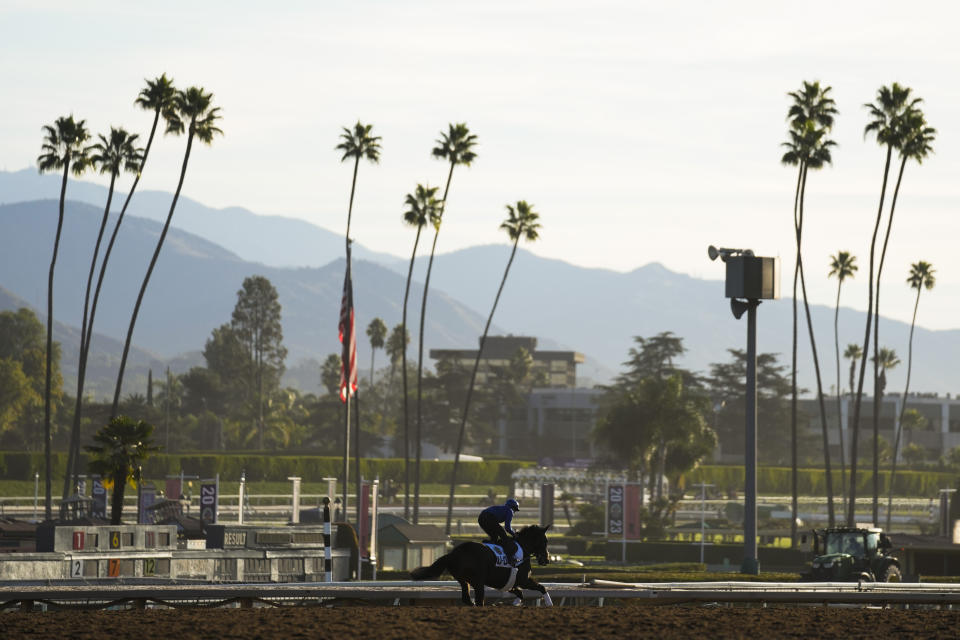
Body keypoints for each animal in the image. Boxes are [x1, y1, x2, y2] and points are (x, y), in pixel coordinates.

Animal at [406, 524, 556, 608]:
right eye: (545, 541)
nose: (547, 559)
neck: (523, 549)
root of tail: (453, 554)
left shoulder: (508, 583)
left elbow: (520, 593)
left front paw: (514, 603)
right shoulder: (523, 580)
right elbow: (541, 587)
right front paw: (549, 603)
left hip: (464, 580)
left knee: (467, 598)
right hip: (477, 581)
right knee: (479, 600)